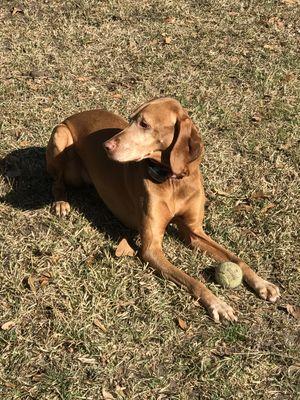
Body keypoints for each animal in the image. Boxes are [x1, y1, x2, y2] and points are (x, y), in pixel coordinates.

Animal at [45, 98, 280, 324]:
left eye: (144, 124)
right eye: (131, 120)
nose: (105, 146)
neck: (172, 180)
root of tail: (74, 116)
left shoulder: (194, 232)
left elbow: (236, 258)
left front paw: (262, 283)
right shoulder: (151, 249)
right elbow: (193, 281)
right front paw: (218, 304)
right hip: (60, 136)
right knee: (56, 182)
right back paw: (61, 202)